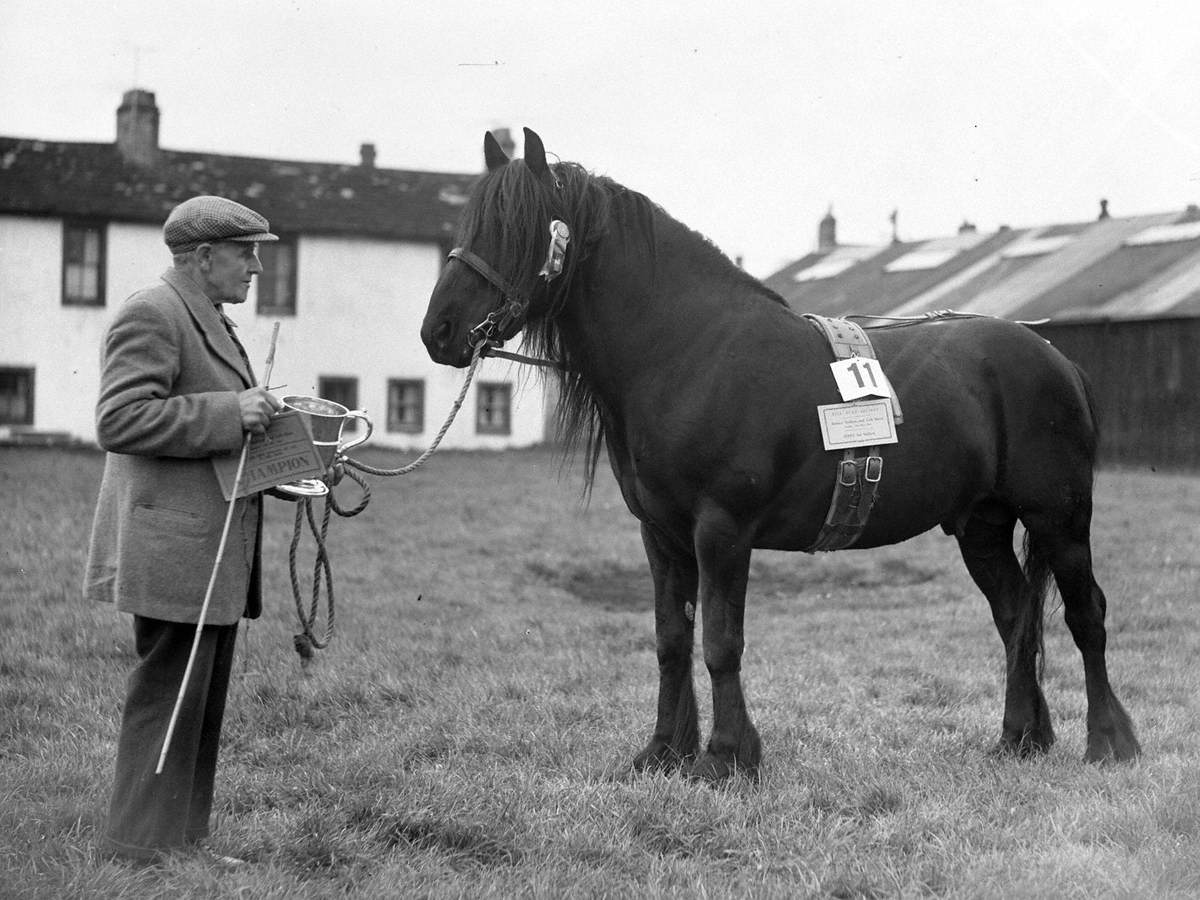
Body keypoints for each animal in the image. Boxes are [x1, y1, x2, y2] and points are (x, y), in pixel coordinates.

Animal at [424, 127, 1142, 782]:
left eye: (512, 226)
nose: (439, 331)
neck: (687, 350)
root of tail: (1056, 359)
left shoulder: (722, 529)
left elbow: (720, 640)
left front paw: (726, 757)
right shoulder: (661, 534)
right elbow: (671, 638)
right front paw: (663, 753)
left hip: (1059, 517)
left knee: (1086, 615)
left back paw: (1111, 743)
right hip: (982, 526)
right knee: (1016, 615)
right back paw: (1021, 738)